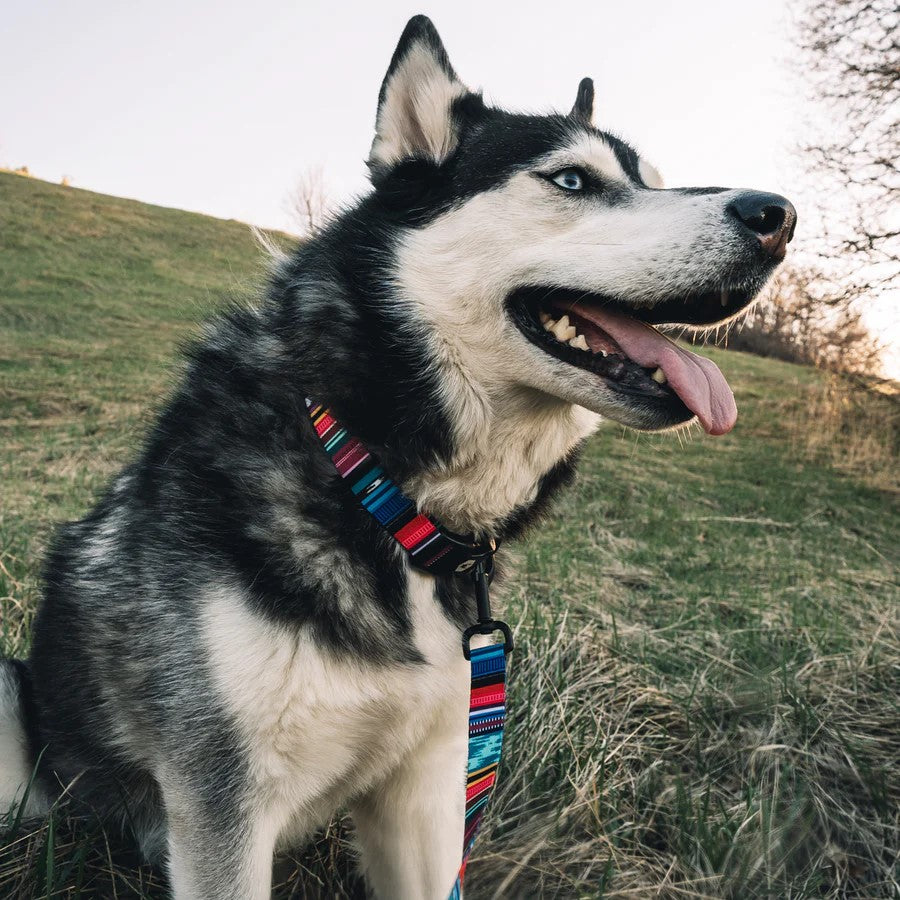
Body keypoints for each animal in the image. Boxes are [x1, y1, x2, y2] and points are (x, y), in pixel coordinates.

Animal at [1, 14, 796, 900]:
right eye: (572, 181)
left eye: (655, 181)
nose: (779, 214)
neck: (380, 488)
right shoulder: (219, 803)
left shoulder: (428, 780)